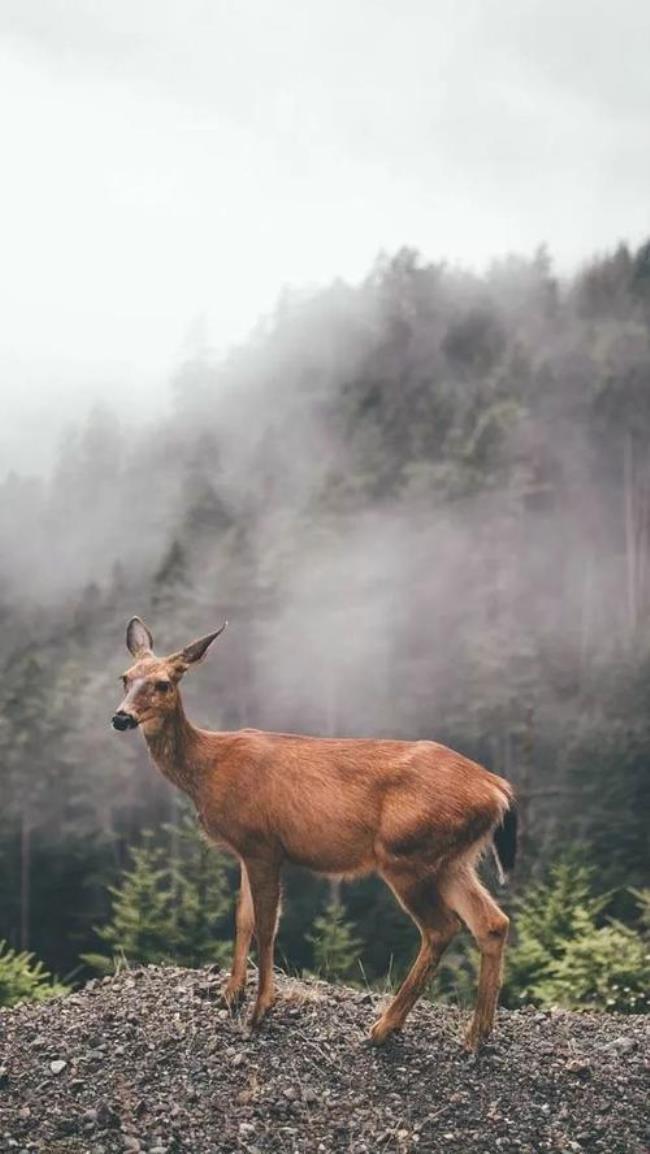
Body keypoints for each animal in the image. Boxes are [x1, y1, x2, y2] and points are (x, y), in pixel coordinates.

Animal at [113, 618, 519, 1052]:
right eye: (126, 678)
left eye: (163, 683)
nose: (121, 718)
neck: (209, 770)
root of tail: (498, 789)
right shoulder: (246, 850)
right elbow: (242, 918)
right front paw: (230, 995)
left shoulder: (262, 844)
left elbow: (266, 926)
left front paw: (260, 1009)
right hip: (452, 860)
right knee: (492, 923)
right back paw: (477, 1034)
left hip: (406, 853)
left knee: (442, 928)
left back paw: (384, 1027)